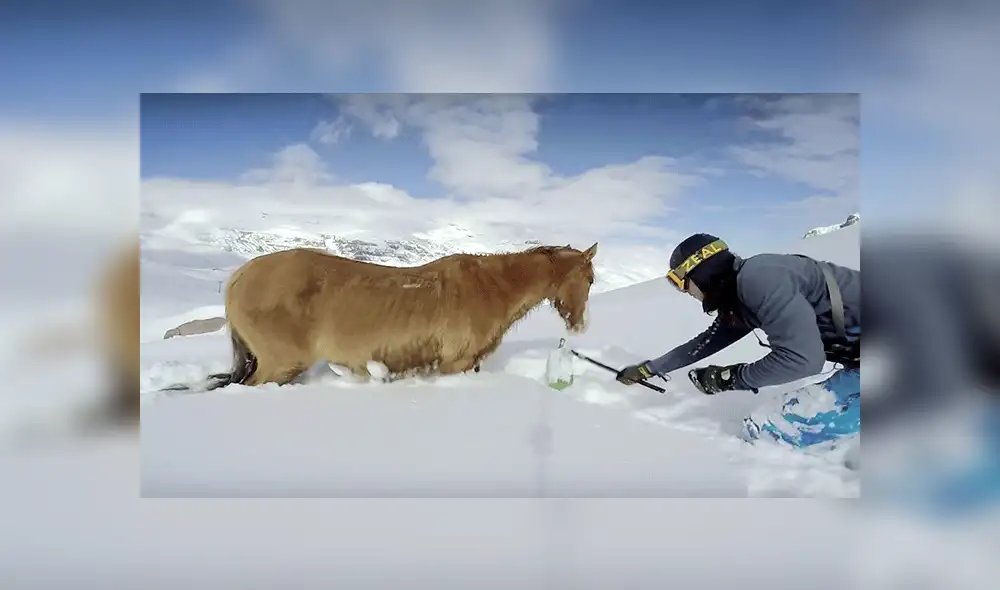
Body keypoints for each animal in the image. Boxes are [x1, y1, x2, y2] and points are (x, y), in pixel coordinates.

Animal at [207, 242, 598, 389]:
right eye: (591, 279)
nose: (580, 326)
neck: (491, 287)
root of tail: (239, 278)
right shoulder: (454, 363)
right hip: (280, 364)